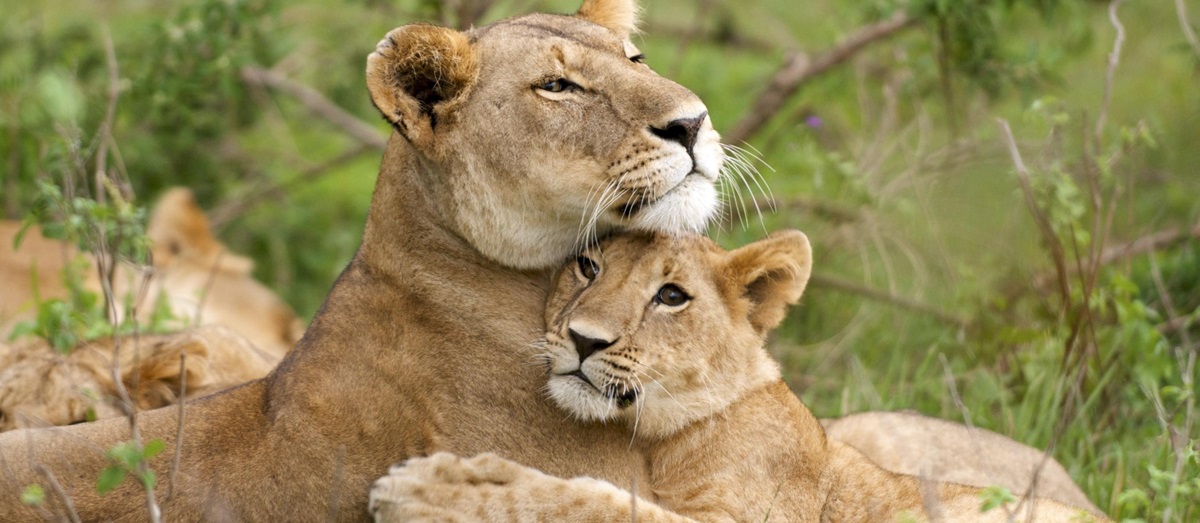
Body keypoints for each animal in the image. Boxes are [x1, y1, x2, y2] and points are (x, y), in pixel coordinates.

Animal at [370, 231, 1107, 522]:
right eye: (588, 265)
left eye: (671, 296)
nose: (583, 339)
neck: (661, 438)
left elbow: (598, 503)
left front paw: (434, 489)